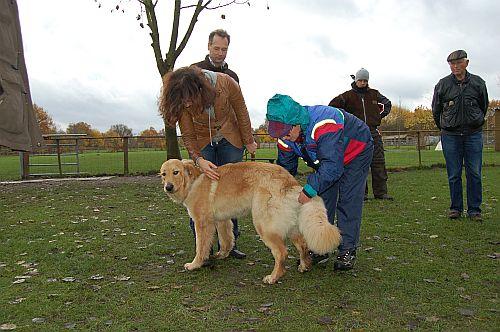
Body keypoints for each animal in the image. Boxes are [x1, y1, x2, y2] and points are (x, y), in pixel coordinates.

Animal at [159, 160, 340, 284]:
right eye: (163, 174)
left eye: (176, 172)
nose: (168, 187)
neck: (193, 181)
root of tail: (290, 182)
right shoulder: (222, 221)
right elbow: (226, 240)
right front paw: (222, 255)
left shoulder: (202, 223)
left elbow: (201, 246)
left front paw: (195, 264)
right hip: (291, 226)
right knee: (302, 245)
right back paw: (304, 266)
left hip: (263, 225)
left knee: (282, 253)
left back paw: (274, 277)